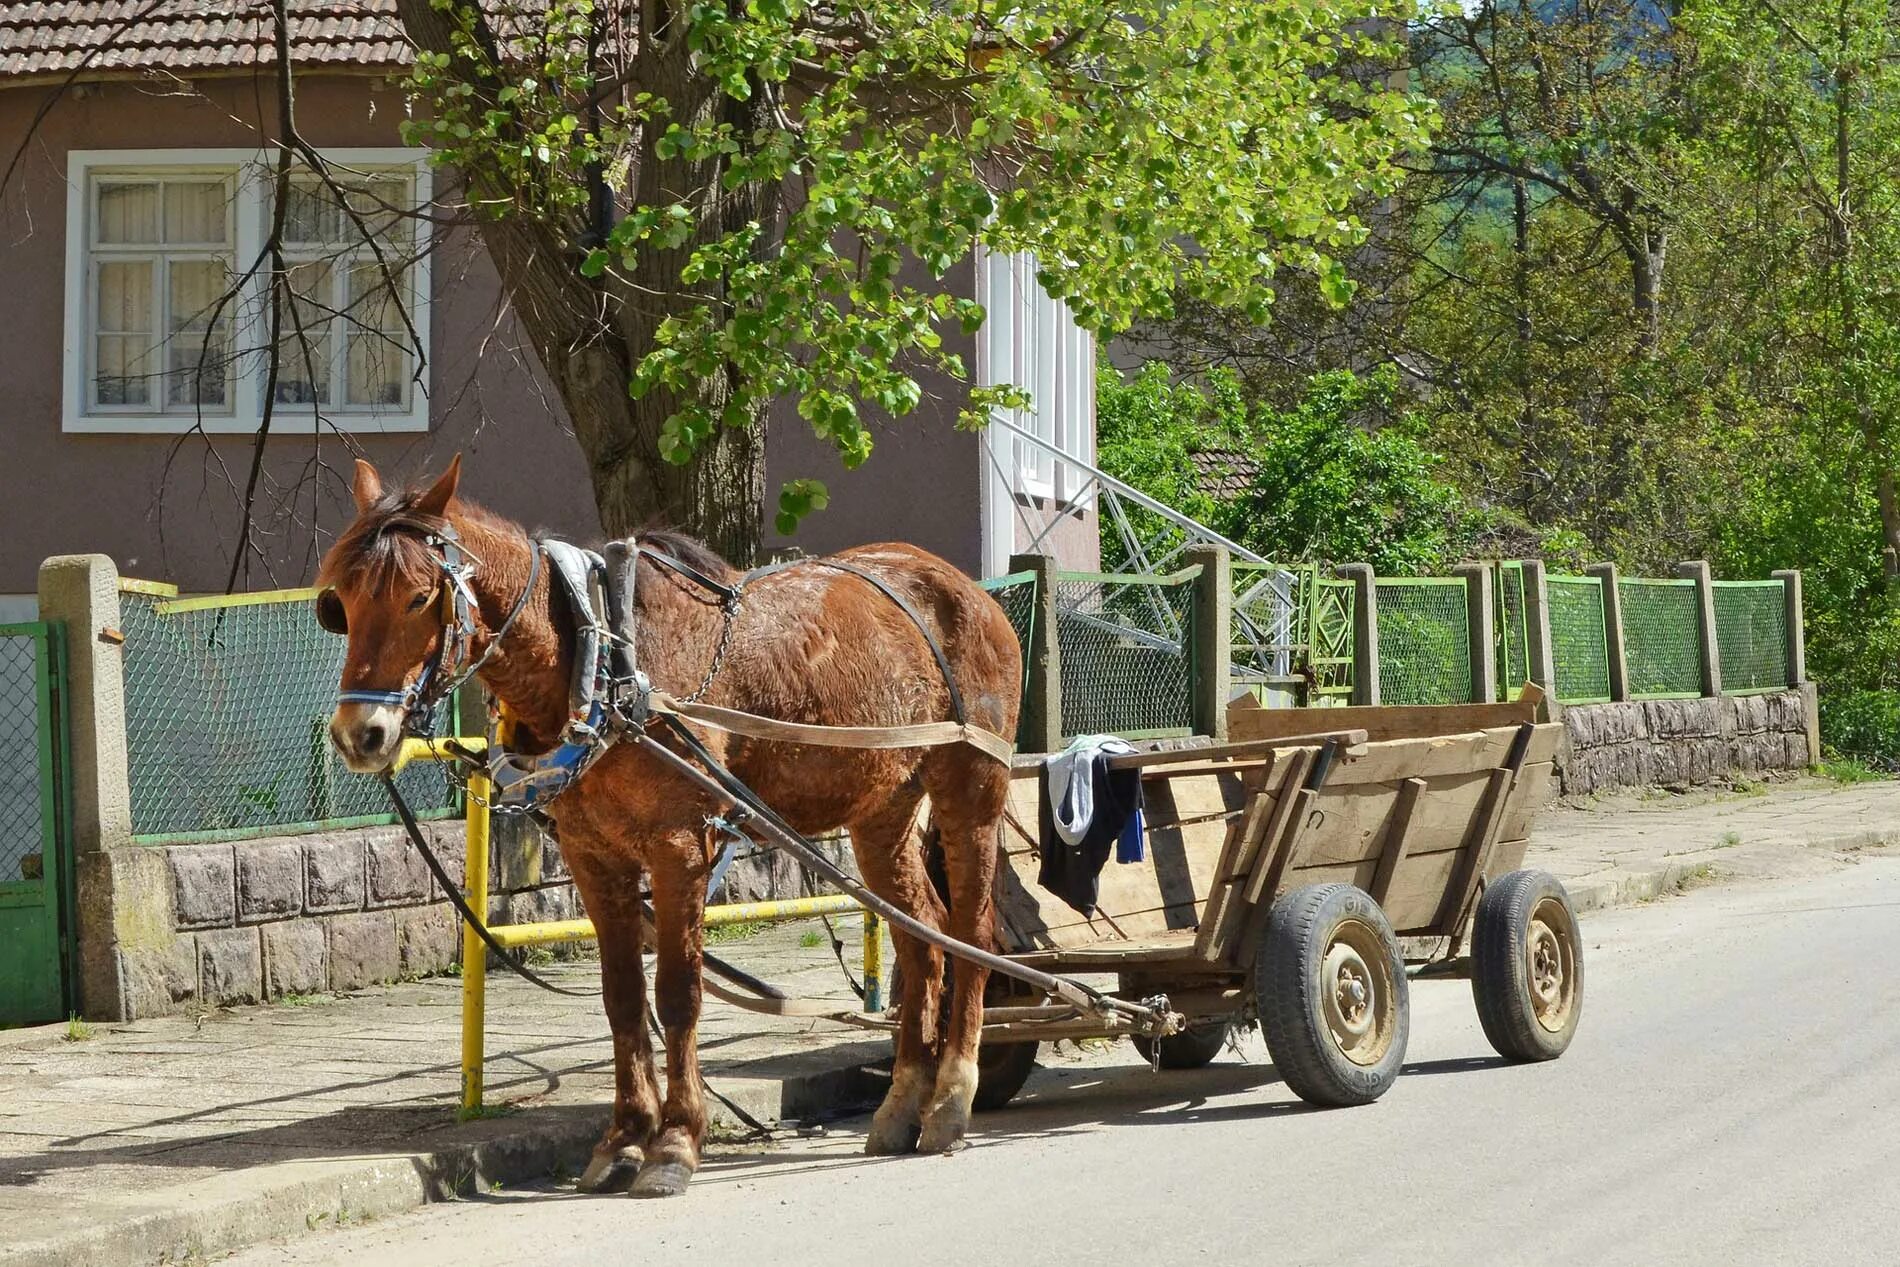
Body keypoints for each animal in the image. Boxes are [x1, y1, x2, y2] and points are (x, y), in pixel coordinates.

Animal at [319, 457, 1026, 1200]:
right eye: (340, 601)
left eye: (421, 596)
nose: (359, 734)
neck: (601, 662)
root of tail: (962, 585)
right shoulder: (594, 856)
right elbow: (624, 997)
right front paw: (624, 1137)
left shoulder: (680, 847)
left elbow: (679, 994)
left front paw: (677, 1141)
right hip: (882, 808)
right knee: (922, 936)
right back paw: (902, 1100)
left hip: (971, 791)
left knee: (971, 932)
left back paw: (951, 1095)